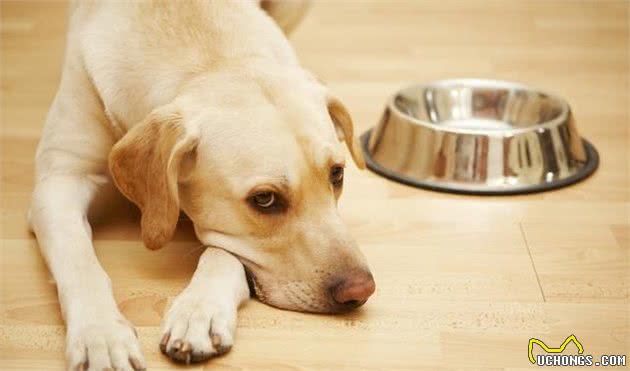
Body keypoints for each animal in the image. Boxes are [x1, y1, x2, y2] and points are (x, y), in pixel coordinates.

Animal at [28, 1, 376, 370]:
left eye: (337, 174)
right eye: (265, 199)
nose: (361, 290)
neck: (209, 59)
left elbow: (223, 253)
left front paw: (199, 312)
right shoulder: (59, 180)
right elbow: (80, 262)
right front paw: (101, 334)